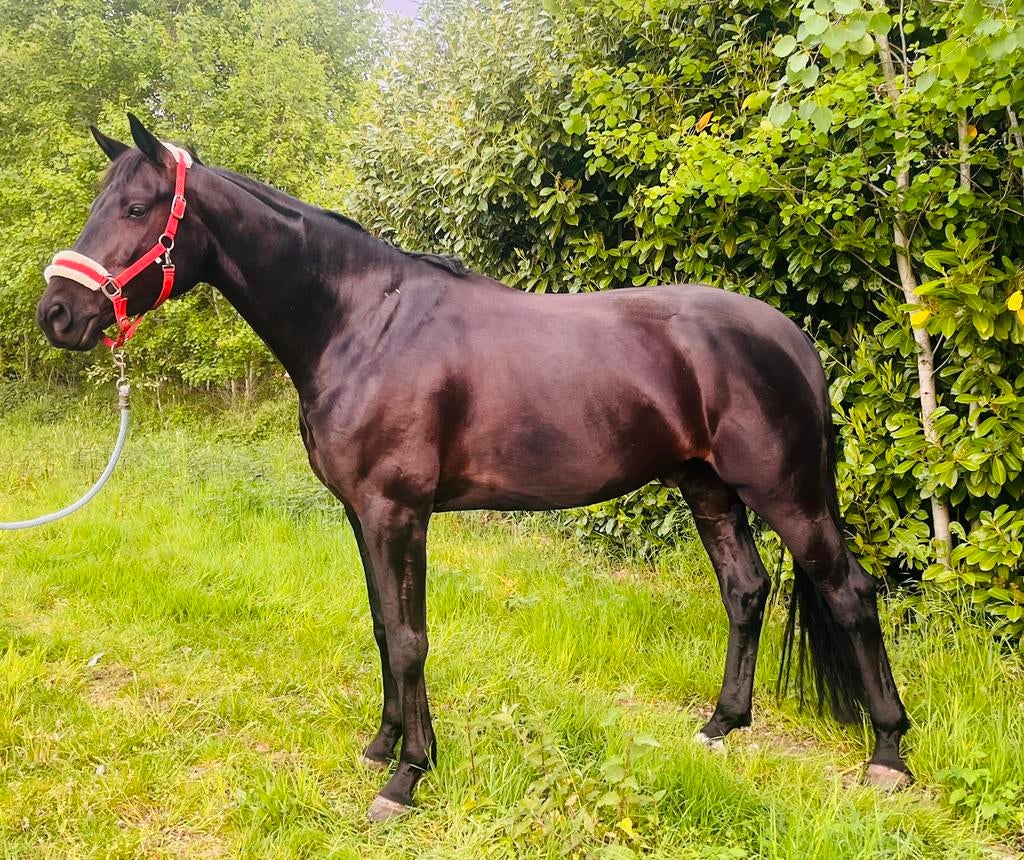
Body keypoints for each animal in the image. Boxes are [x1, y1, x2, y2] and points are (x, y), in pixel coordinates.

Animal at [36, 115, 912, 822]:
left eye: (138, 207)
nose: (57, 313)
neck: (362, 324)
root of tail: (790, 336)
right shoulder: (361, 512)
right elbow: (382, 627)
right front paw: (381, 745)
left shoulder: (398, 511)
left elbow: (410, 638)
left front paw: (407, 778)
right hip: (709, 489)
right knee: (746, 591)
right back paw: (720, 726)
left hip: (788, 493)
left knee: (850, 593)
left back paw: (889, 756)